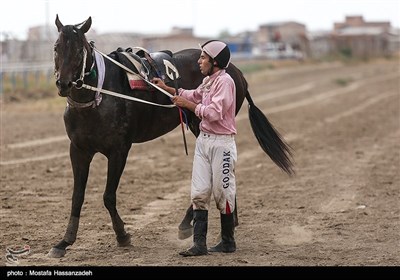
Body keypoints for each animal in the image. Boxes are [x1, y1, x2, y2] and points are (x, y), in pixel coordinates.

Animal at [47, 14, 294, 258]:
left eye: (80, 51)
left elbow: (108, 196)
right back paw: (225, 221)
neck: (99, 95)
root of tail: (237, 71)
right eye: (56, 47)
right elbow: (77, 197)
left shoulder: (119, 150)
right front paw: (64, 242)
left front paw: (122, 235)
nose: (63, 83)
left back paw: (192, 222)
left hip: (203, 125)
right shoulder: (79, 150)